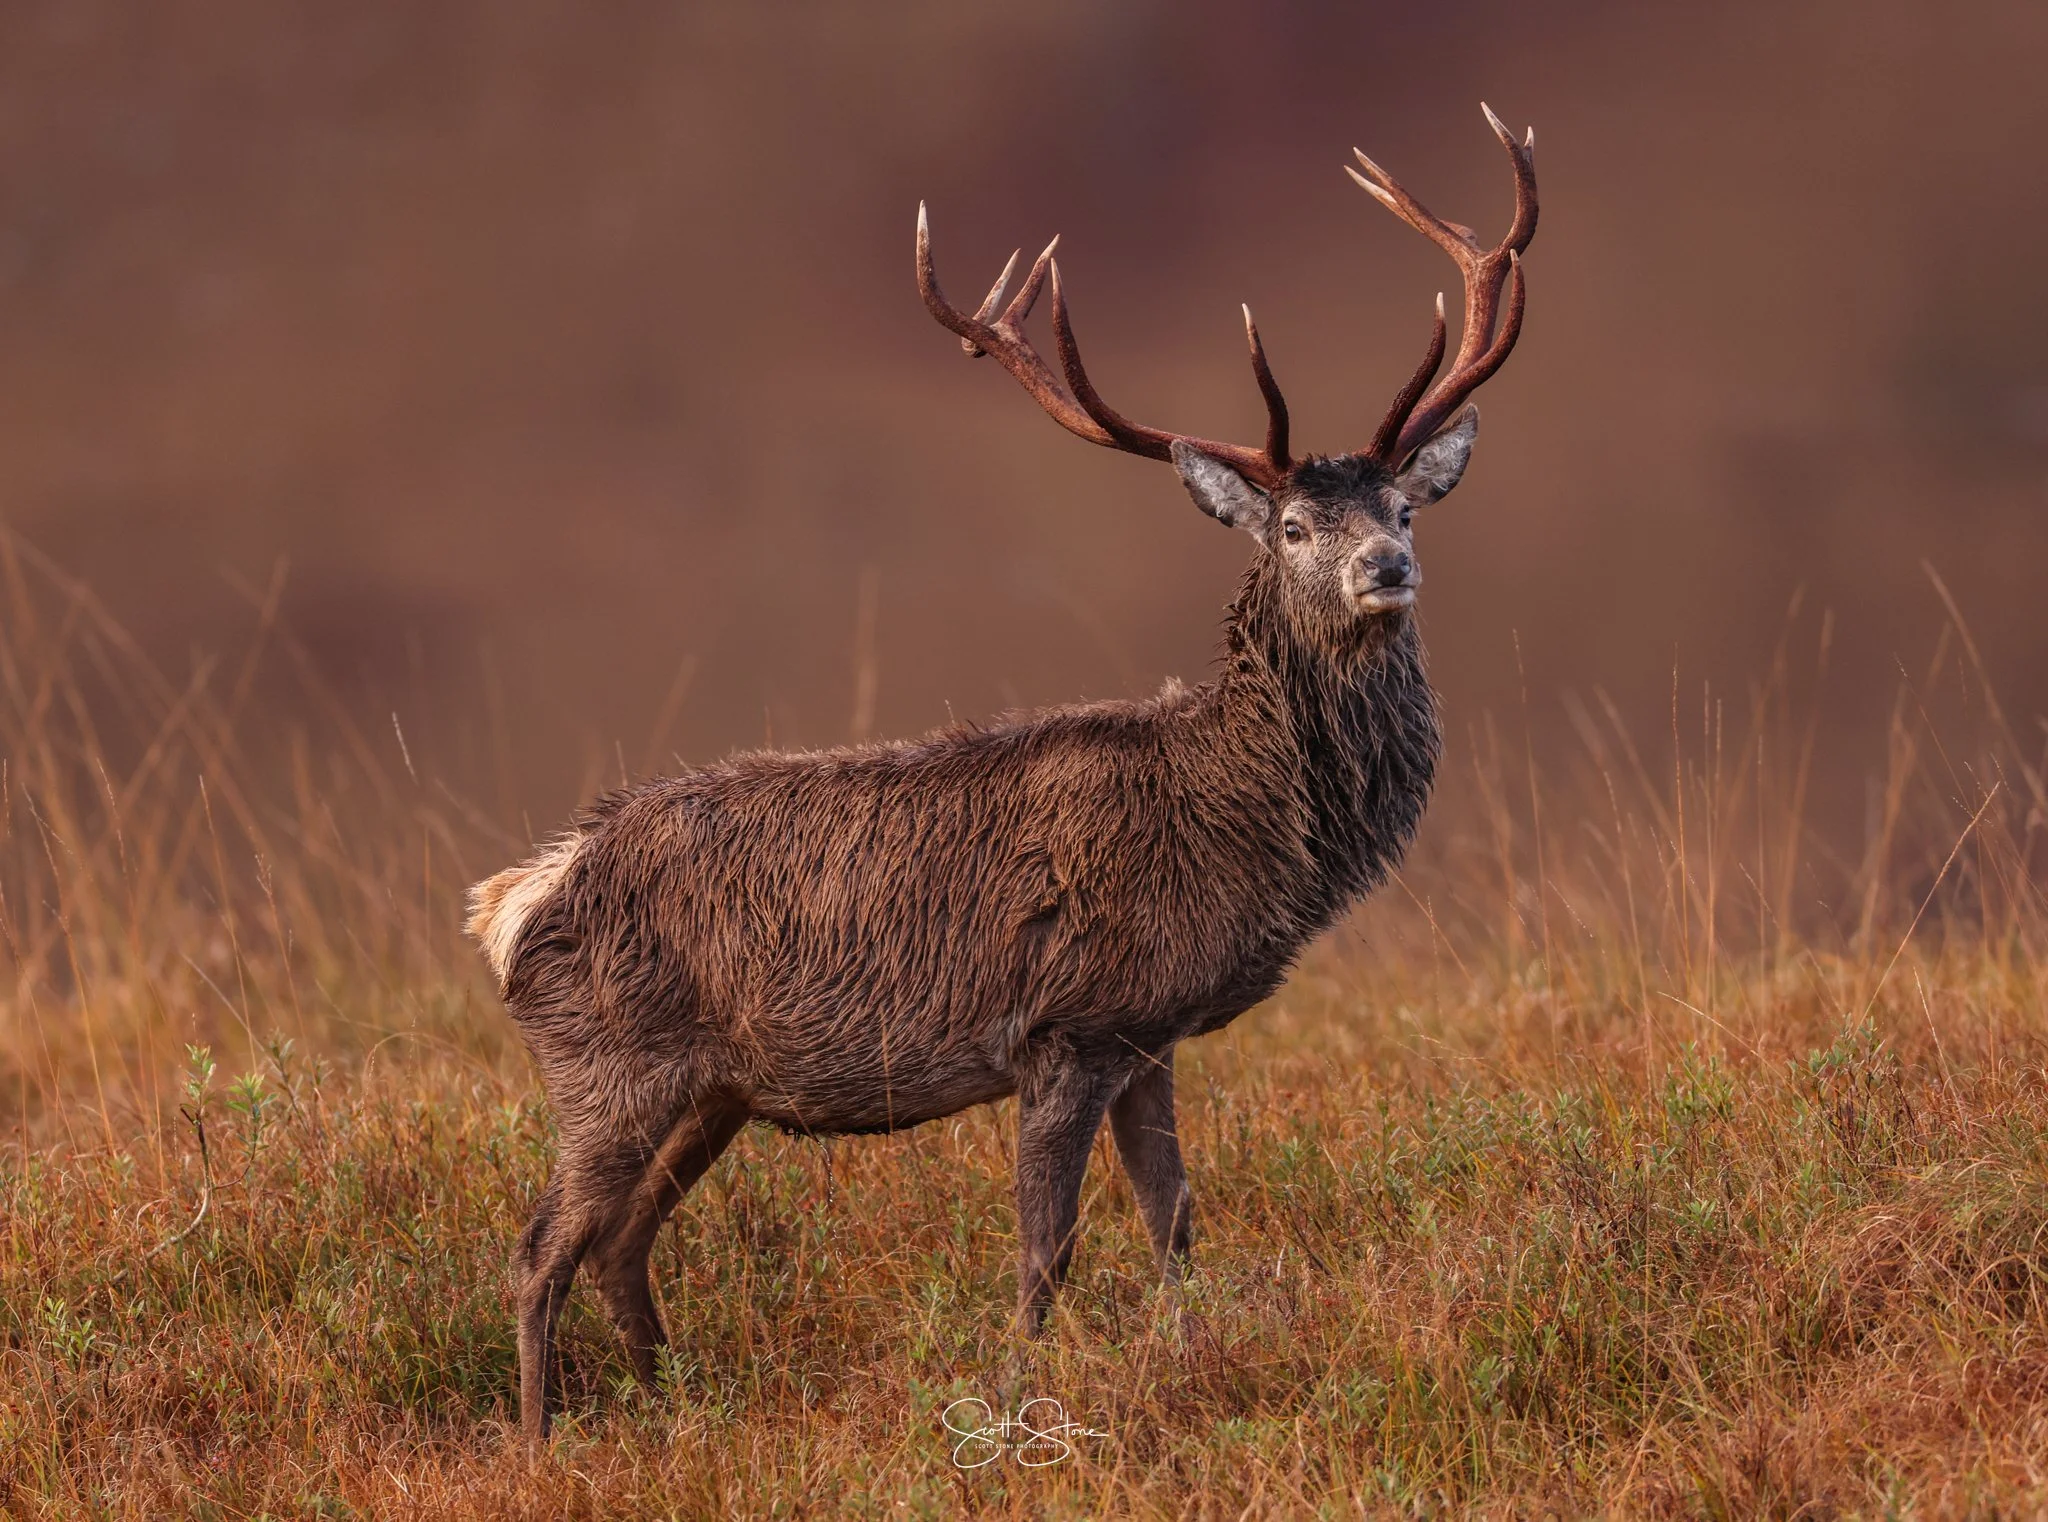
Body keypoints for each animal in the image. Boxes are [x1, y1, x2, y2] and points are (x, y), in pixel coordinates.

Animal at [467, 105, 1537, 1441]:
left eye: (1403, 506)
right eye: (1293, 527)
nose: (1386, 569)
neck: (1232, 820)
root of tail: (517, 901)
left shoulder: (1147, 1032)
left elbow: (1174, 1223)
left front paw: (1189, 1357)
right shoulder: (1063, 1024)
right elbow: (1047, 1249)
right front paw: (1023, 1399)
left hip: (708, 1086)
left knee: (619, 1243)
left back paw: (678, 1402)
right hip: (606, 1064)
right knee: (538, 1249)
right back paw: (536, 1436)